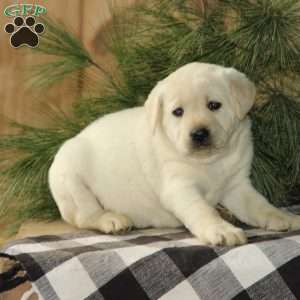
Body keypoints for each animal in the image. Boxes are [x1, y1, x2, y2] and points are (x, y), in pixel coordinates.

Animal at [48, 62, 300, 246]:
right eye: (178, 112)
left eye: (214, 105)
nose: (199, 134)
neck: (210, 162)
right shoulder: (180, 188)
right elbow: (203, 211)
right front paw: (221, 229)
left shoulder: (237, 186)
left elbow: (259, 205)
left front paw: (283, 217)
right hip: (71, 176)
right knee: (84, 215)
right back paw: (111, 218)